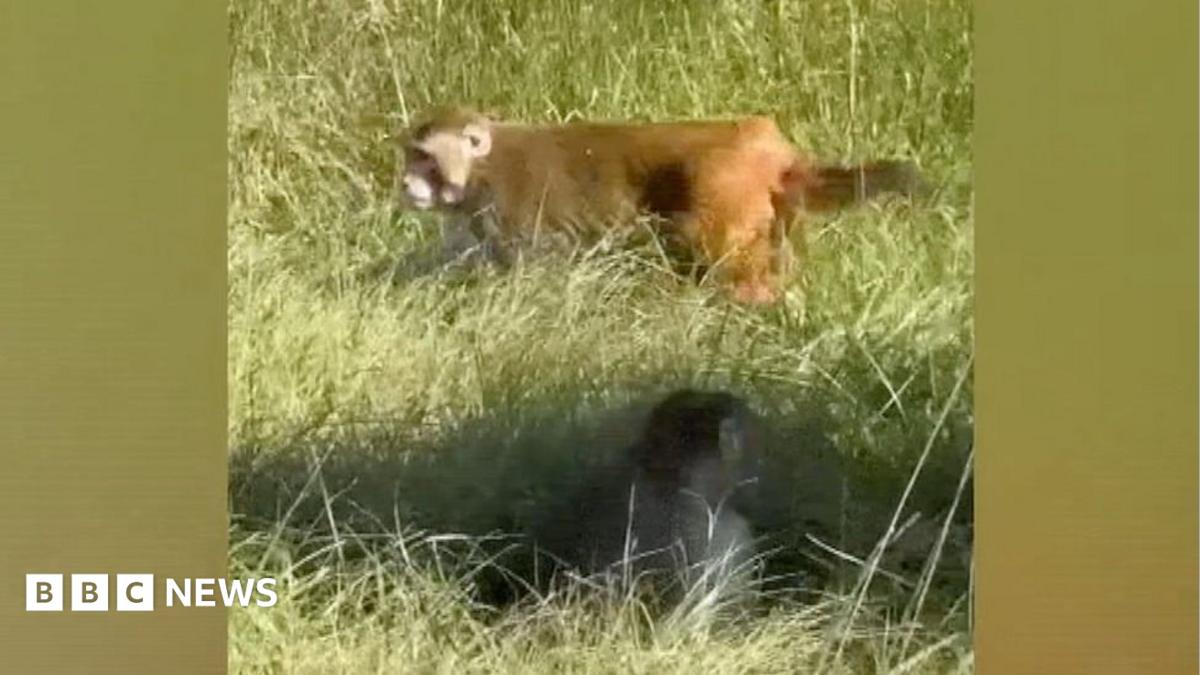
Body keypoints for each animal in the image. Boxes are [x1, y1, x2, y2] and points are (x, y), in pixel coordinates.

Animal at [396, 106, 922, 303]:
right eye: (411, 154)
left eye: (424, 158)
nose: (404, 182)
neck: (479, 169)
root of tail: (767, 146)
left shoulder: (506, 210)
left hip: (721, 189)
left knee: (707, 248)